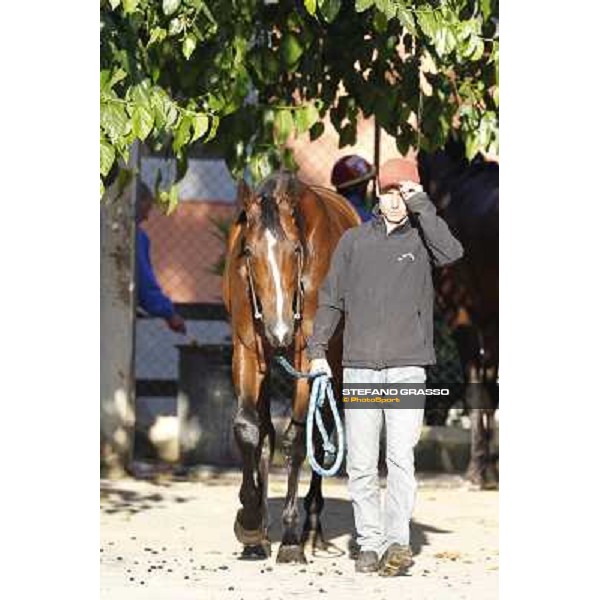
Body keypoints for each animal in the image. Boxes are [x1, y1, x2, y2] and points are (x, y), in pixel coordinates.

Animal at [221, 170, 358, 564]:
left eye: (296, 251)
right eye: (248, 252)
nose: (280, 331)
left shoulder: (309, 359)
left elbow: (298, 438)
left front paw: (292, 539)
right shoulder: (247, 350)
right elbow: (249, 429)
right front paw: (251, 526)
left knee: (322, 433)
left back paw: (311, 529)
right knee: (266, 429)